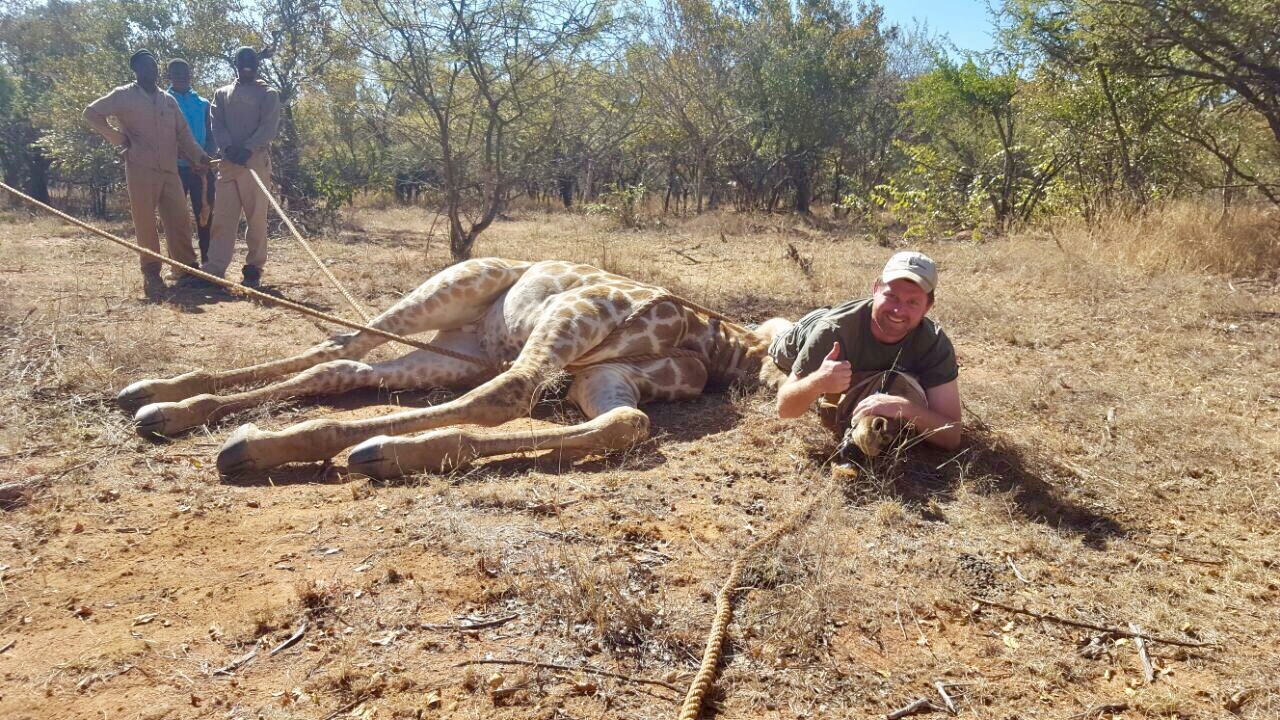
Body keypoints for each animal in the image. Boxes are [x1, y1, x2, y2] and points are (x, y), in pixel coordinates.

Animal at [117, 258, 793, 479]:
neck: (708, 341)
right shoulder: (579, 309)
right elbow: (512, 395)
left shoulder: (602, 379)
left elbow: (626, 422)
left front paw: (390, 454)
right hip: (456, 284)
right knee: (344, 342)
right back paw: (166, 398)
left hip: (455, 353)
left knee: (345, 363)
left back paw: (178, 411)